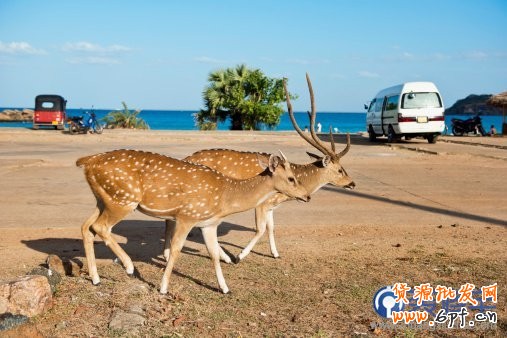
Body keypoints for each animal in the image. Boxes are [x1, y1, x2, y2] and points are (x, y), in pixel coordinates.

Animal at [77, 148, 312, 294]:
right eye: (291, 178)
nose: (307, 196)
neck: (226, 196)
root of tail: (86, 161)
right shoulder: (187, 216)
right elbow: (176, 250)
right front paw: (163, 288)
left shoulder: (209, 223)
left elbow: (214, 254)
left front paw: (225, 288)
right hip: (123, 199)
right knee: (100, 227)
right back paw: (128, 267)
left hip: (103, 199)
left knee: (86, 227)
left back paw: (96, 279)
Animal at [165, 73, 356, 264]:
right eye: (340, 169)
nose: (352, 184)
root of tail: (185, 158)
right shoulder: (263, 203)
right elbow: (261, 229)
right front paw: (239, 256)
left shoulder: (271, 206)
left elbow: (271, 227)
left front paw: (276, 253)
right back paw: (220, 257)